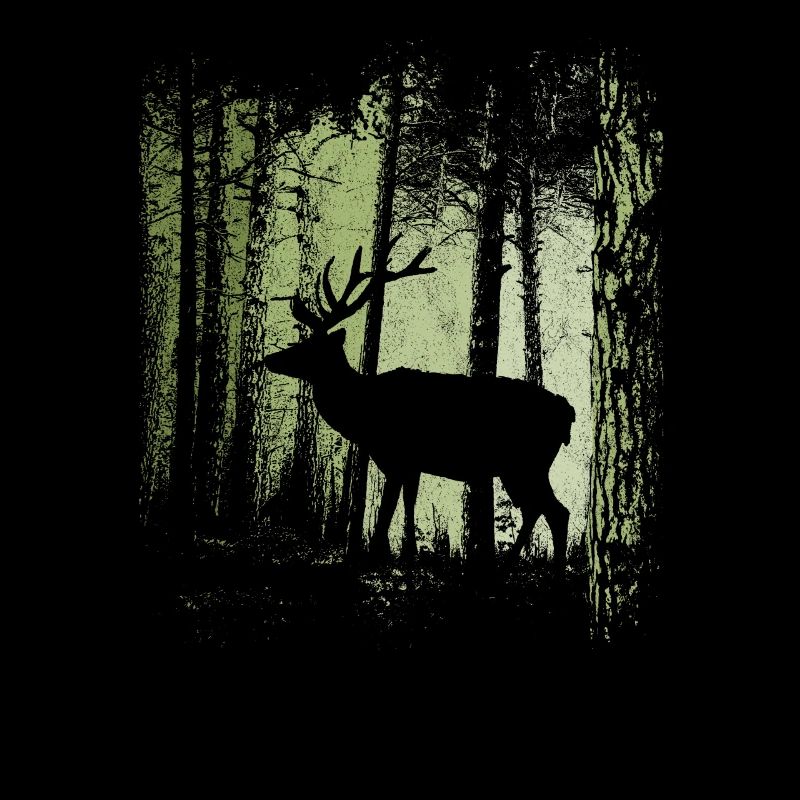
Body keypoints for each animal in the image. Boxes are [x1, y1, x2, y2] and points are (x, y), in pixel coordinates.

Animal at [262, 238, 575, 572]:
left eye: (309, 346)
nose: (269, 358)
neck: (362, 414)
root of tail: (568, 411)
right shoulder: (412, 464)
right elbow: (409, 504)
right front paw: (409, 554)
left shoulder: (396, 456)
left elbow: (387, 510)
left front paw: (373, 556)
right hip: (520, 467)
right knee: (538, 509)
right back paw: (510, 565)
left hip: (527, 461)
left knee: (555, 511)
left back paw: (546, 568)